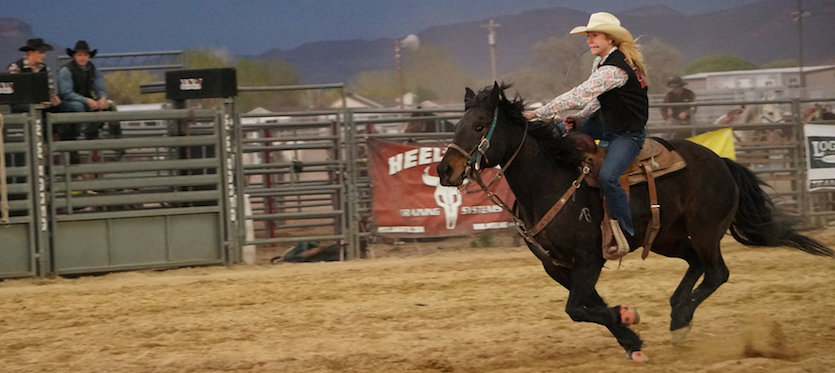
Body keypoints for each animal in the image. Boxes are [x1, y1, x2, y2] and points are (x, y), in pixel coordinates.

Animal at [434, 83, 832, 360]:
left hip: (704, 231)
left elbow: (577, 308)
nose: (444, 170)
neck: (551, 181)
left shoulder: (589, 258)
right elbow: (587, 305)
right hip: (668, 238)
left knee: (716, 271)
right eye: (457, 125)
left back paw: (681, 320)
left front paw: (629, 320)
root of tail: (721, 161)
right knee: (696, 265)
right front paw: (629, 333)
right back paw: (677, 311)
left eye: (479, 125)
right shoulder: (557, 266)